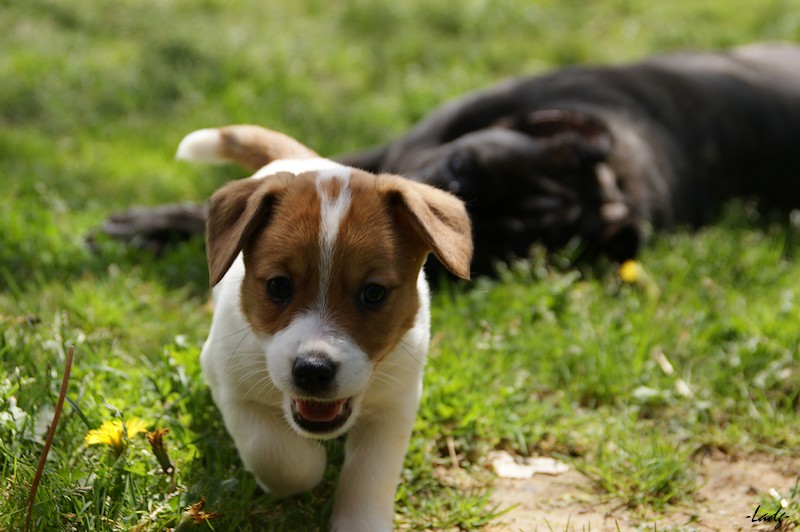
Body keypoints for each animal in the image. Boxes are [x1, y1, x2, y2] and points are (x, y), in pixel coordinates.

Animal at [177, 125, 472, 531]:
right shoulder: (231, 386)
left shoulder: (395, 402)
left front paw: (360, 522)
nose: (313, 371)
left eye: (373, 293)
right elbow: (279, 456)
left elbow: (371, 473)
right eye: (279, 286)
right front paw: (310, 465)